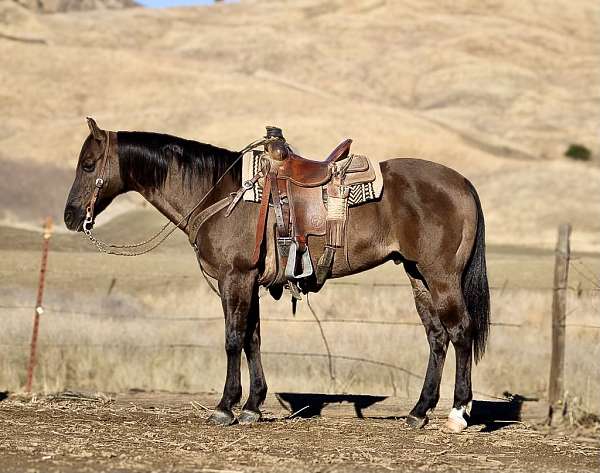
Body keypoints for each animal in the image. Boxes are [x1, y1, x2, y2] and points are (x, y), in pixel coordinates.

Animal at [64, 119, 488, 432]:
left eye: (88, 165)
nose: (70, 216)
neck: (219, 193)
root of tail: (463, 184)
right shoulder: (249, 282)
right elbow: (252, 339)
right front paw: (252, 405)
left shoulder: (234, 278)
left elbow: (233, 339)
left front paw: (225, 407)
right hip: (418, 276)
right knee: (437, 337)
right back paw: (419, 412)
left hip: (441, 276)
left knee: (460, 331)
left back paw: (457, 415)